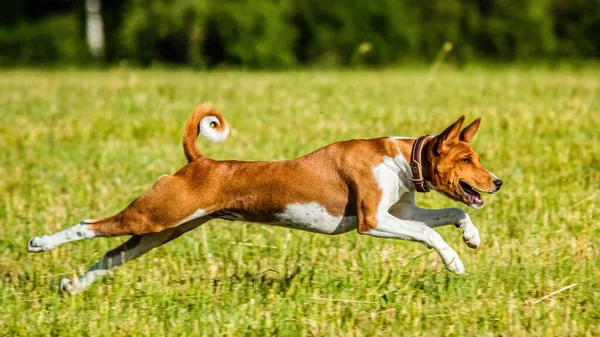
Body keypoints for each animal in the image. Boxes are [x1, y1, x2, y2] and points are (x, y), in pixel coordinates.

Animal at [25, 103, 502, 292]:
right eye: (467, 159)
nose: (497, 182)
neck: (403, 161)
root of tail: (199, 161)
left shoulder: (402, 211)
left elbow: (452, 212)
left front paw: (472, 237)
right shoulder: (372, 220)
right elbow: (429, 235)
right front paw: (455, 262)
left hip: (161, 230)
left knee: (110, 257)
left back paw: (72, 286)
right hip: (154, 217)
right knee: (87, 227)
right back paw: (39, 244)